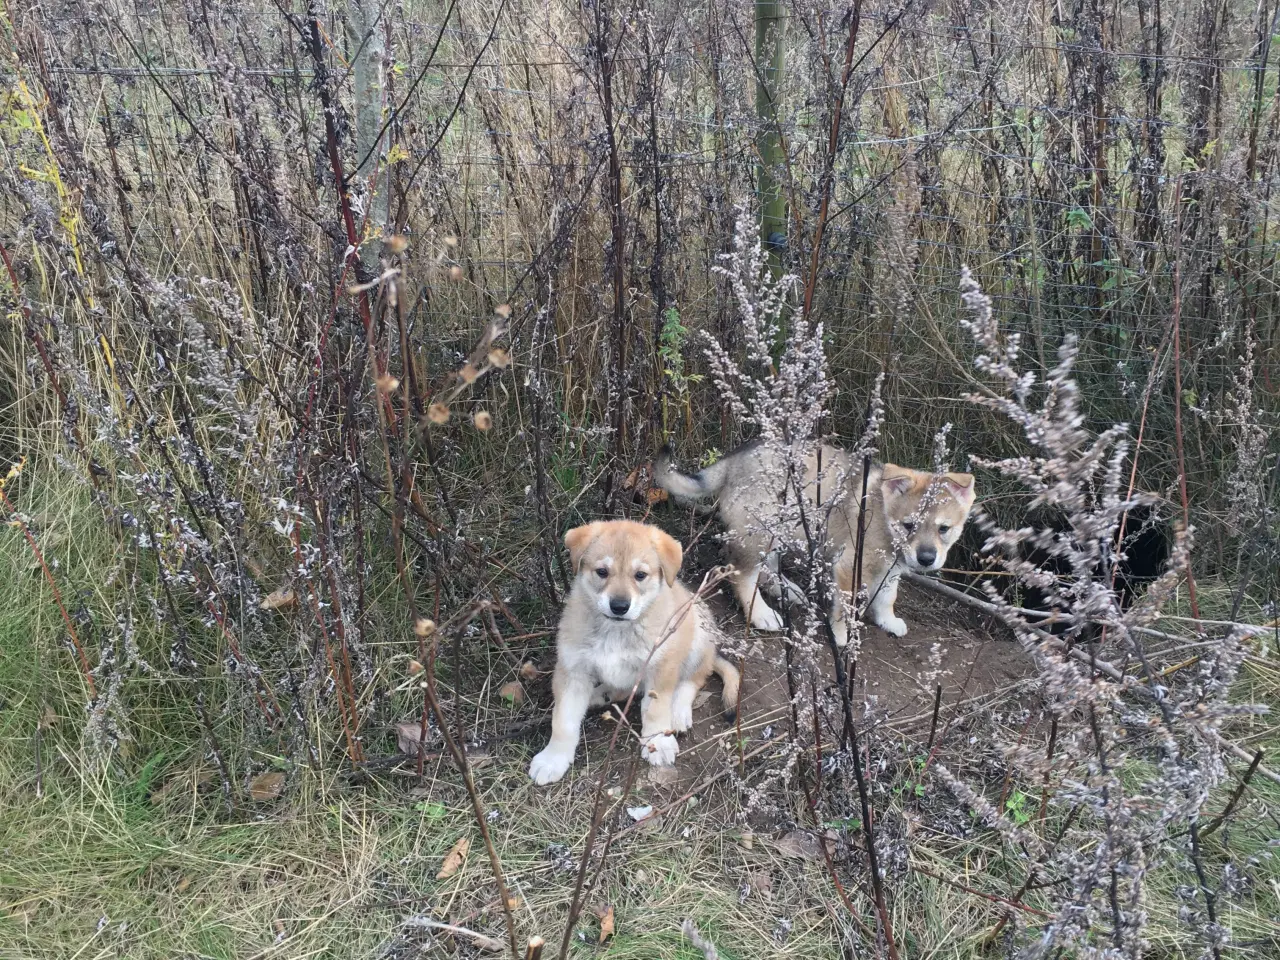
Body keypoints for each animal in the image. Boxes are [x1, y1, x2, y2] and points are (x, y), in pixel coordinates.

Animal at [527, 522, 742, 783]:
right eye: (602, 572)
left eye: (640, 575)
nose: (619, 606)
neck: (616, 631)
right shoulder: (572, 670)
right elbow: (563, 721)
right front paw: (553, 758)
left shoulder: (660, 667)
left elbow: (655, 710)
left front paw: (658, 742)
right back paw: (601, 695)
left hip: (697, 639)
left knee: (693, 679)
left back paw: (678, 712)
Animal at [655, 442, 972, 647]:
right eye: (909, 526)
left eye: (944, 529)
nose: (926, 559)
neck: (883, 514)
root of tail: (732, 463)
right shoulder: (849, 567)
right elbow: (844, 607)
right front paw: (842, 637)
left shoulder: (890, 569)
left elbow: (886, 597)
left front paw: (887, 621)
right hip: (759, 533)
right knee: (743, 576)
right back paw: (761, 615)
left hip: (779, 531)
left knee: (767, 569)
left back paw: (788, 590)